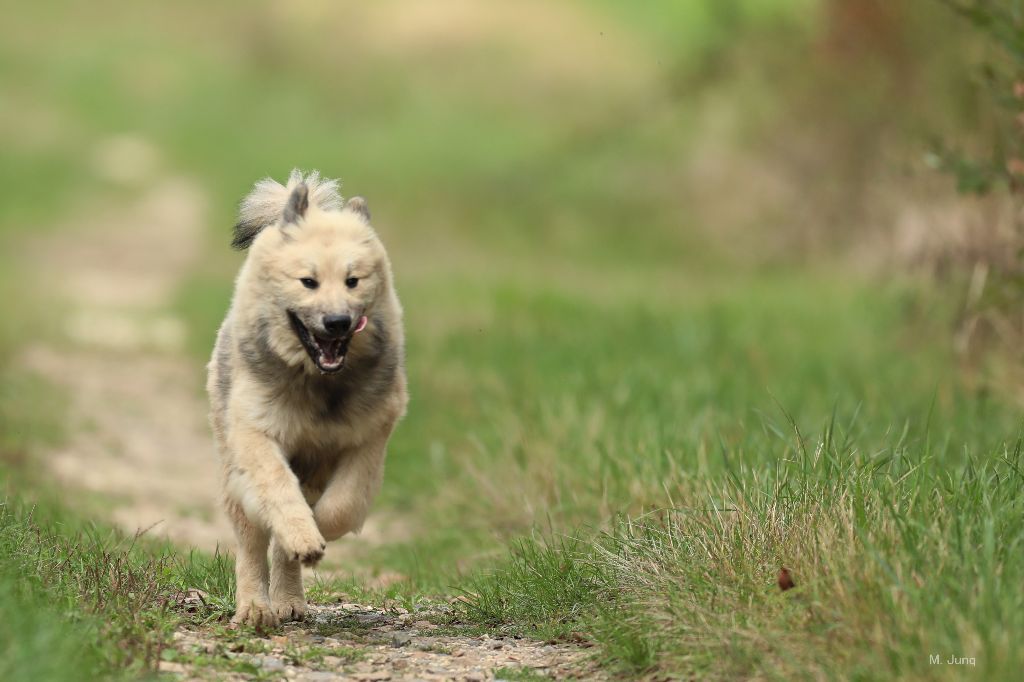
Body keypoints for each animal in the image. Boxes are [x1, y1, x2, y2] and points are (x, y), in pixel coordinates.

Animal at [205, 166, 405, 622]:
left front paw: (316, 536)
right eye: (308, 282)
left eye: (353, 281)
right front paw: (303, 536)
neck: (319, 384)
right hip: (233, 472)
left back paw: (290, 601)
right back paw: (255, 608)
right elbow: (278, 492)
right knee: (251, 544)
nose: (337, 322)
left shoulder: (367, 439)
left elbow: (342, 505)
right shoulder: (257, 433)